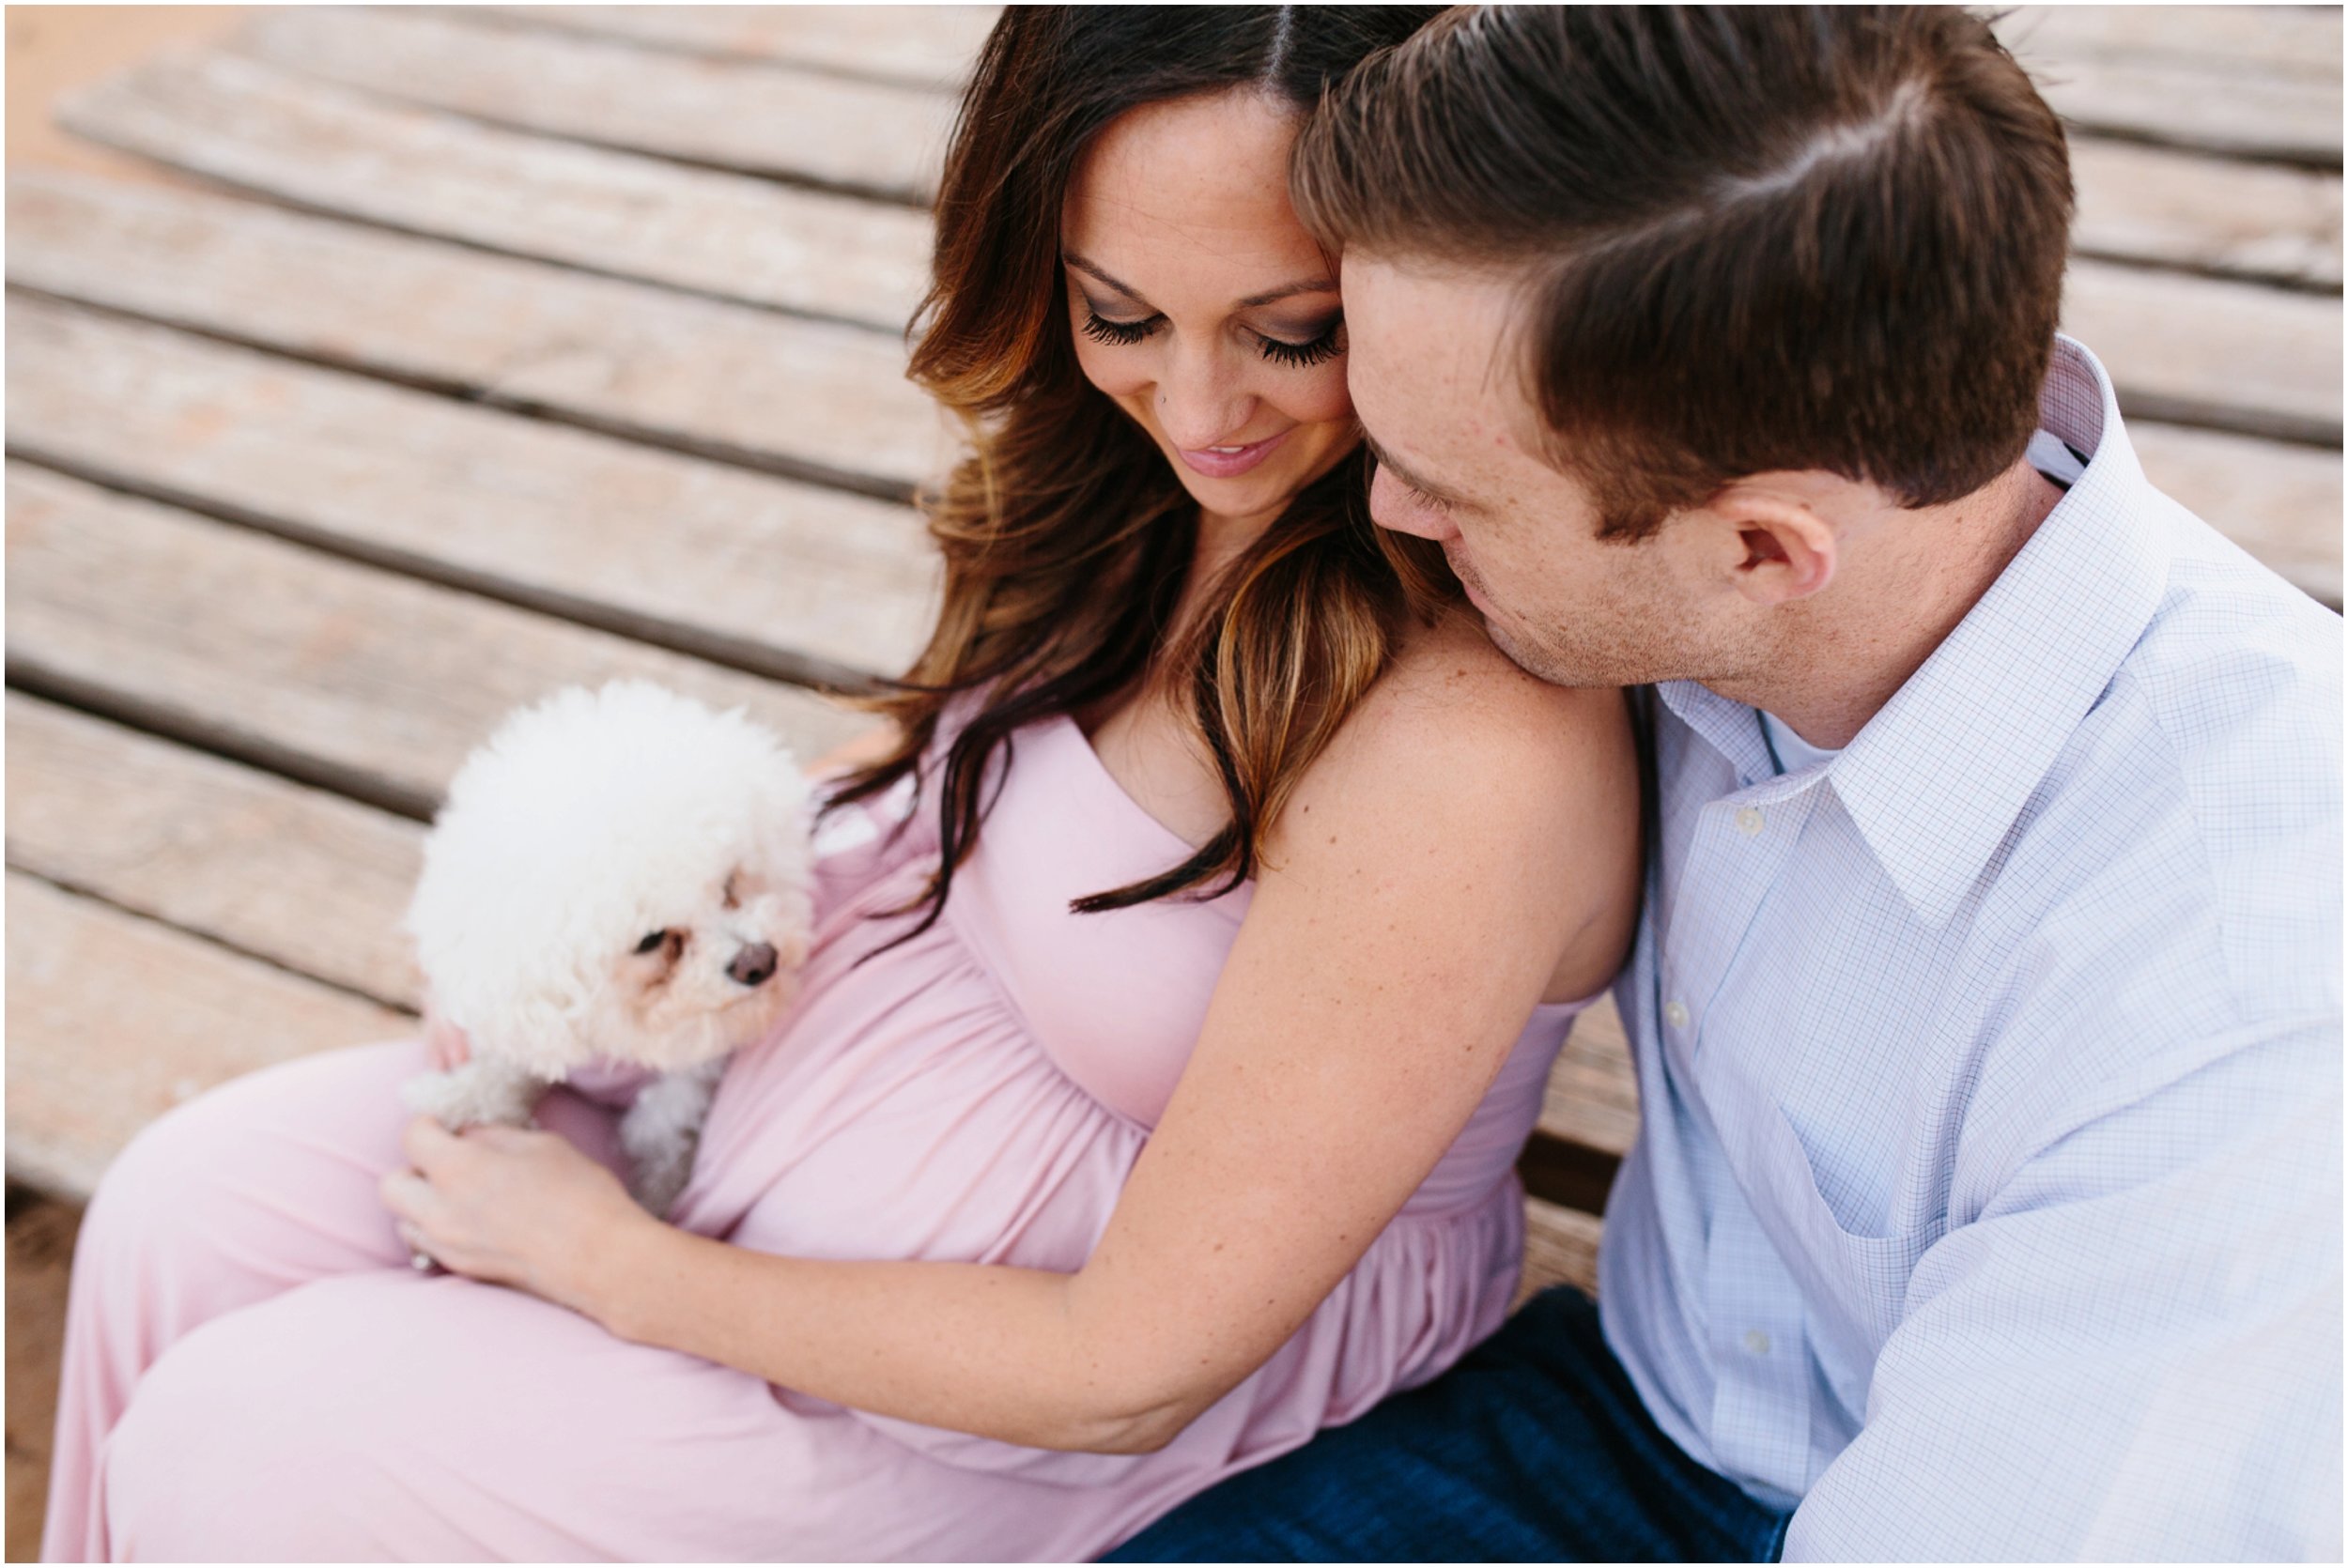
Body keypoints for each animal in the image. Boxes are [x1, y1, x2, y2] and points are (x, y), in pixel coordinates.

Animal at [399, 681, 812, 1211]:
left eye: (727, 884)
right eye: (650, 940)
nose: (758, 962)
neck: (624, 1029)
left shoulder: (681, 1093)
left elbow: (663, 1142)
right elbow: (506, 1065)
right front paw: (463, 1099)